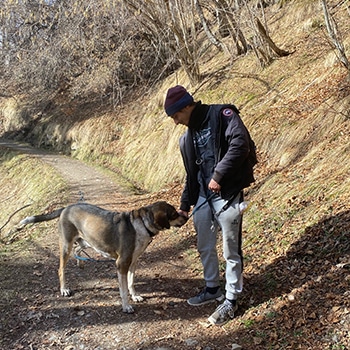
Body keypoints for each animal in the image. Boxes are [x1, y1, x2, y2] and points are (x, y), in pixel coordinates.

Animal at [20, 201, 187, 314]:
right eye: (174, 214)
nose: (186, 216)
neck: (142, 224)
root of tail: (67, 207)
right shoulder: (122, 264)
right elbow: (123, 290)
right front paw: (126, 306)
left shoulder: (133, 262)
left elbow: (131, 283)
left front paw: (135, 296)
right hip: (66, 246)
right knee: (61, 269)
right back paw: (64, 289)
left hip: (89, 242)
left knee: (78, 249)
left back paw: (81, 263)